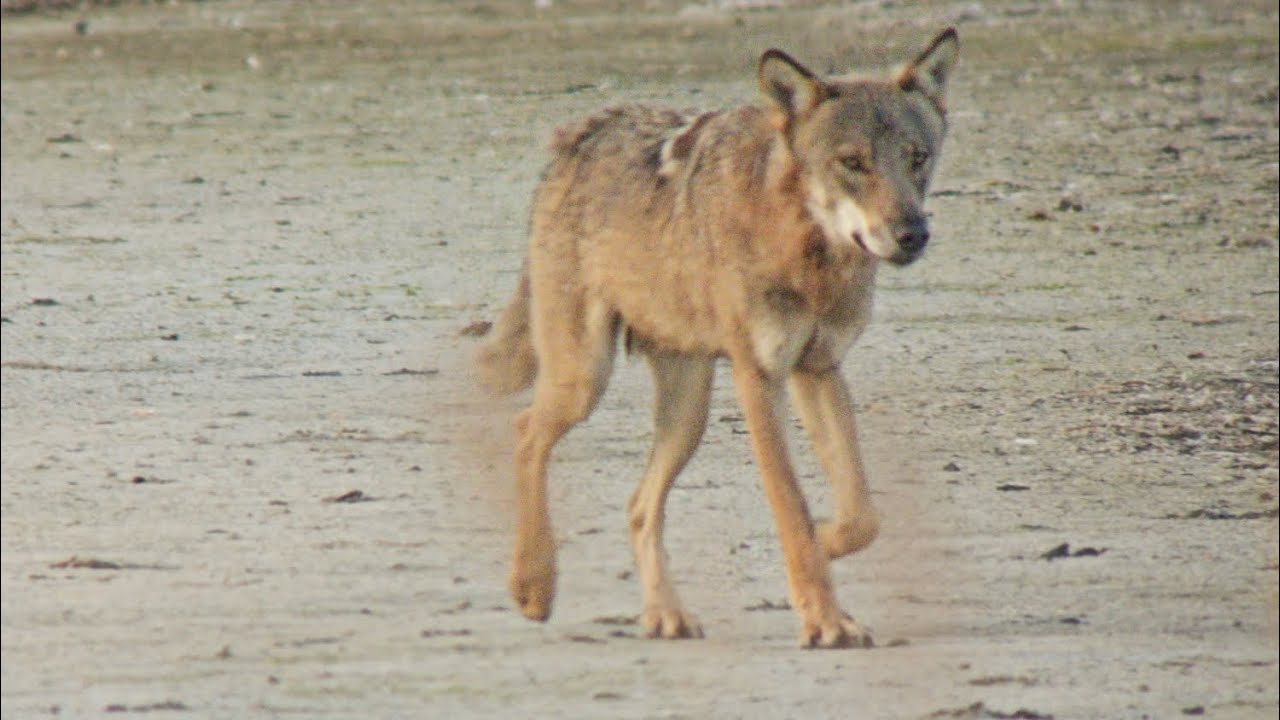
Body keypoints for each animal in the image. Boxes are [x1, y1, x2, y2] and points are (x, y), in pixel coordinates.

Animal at [474, 28, 958, 648]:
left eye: (917, 159)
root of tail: (582, 132)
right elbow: (791, 507)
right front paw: (823, 617)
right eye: (852, 163)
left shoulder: (818, 369)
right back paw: (533, 584)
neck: (806, 252)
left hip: (687, 414)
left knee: (638, 505)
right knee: (526, 431)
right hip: (585, 380)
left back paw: (664, 614)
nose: (912, 233)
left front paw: (825, 546)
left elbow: (860, 515)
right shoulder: (759, 378)